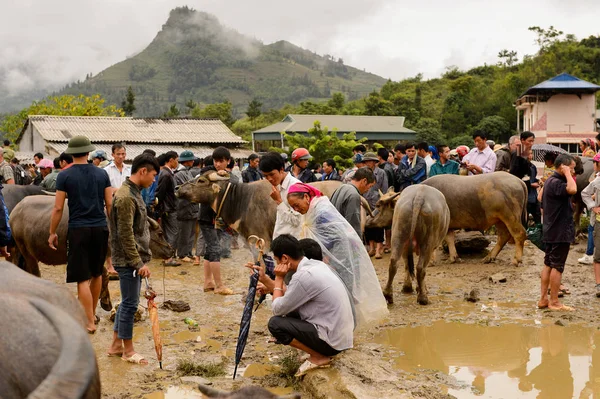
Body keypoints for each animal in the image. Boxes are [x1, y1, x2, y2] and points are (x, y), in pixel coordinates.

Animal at [9, 197, 173, 312]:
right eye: (160, 233)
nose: (171, 250)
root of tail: (14, 212)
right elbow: (103, 275)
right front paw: (103, 303)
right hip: (26, 252)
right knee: (34, 273)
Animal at [368, 173, 528, 268]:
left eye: (379, 205)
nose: (369, 220)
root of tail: (519, 181)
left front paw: (431, 260)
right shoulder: (448, 226)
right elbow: (450, 239)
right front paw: (453, 257)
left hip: (510, 217)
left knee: (519, 234)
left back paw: (517, 259)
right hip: (499, 220)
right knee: (503, 236)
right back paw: (489, 257)